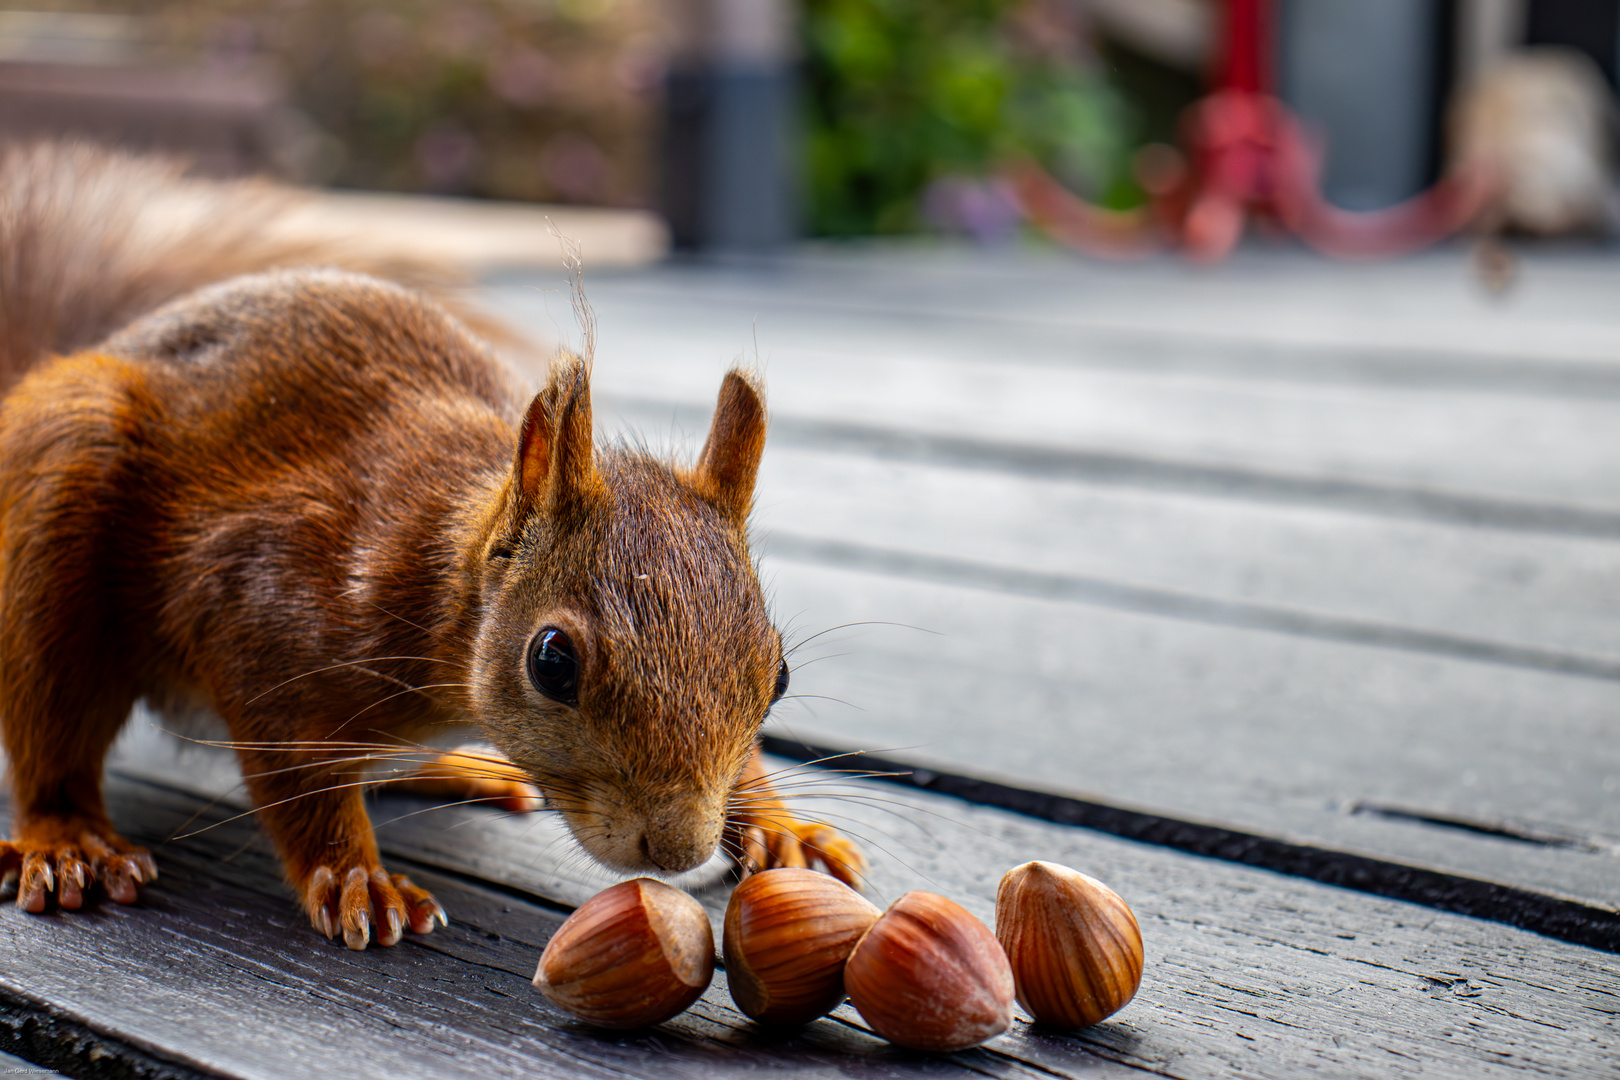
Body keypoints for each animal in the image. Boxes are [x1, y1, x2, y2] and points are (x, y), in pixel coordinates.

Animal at [0, 141, 868, 945]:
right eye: (552, 663)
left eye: (780, 676)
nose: (677, 848)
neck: (439, 594)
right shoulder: (261, 612)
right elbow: (299, 777)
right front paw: (356, 877)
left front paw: (783, 826)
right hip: (58, 508)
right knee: (53, 733)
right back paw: (69, 840)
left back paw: (457, 768)